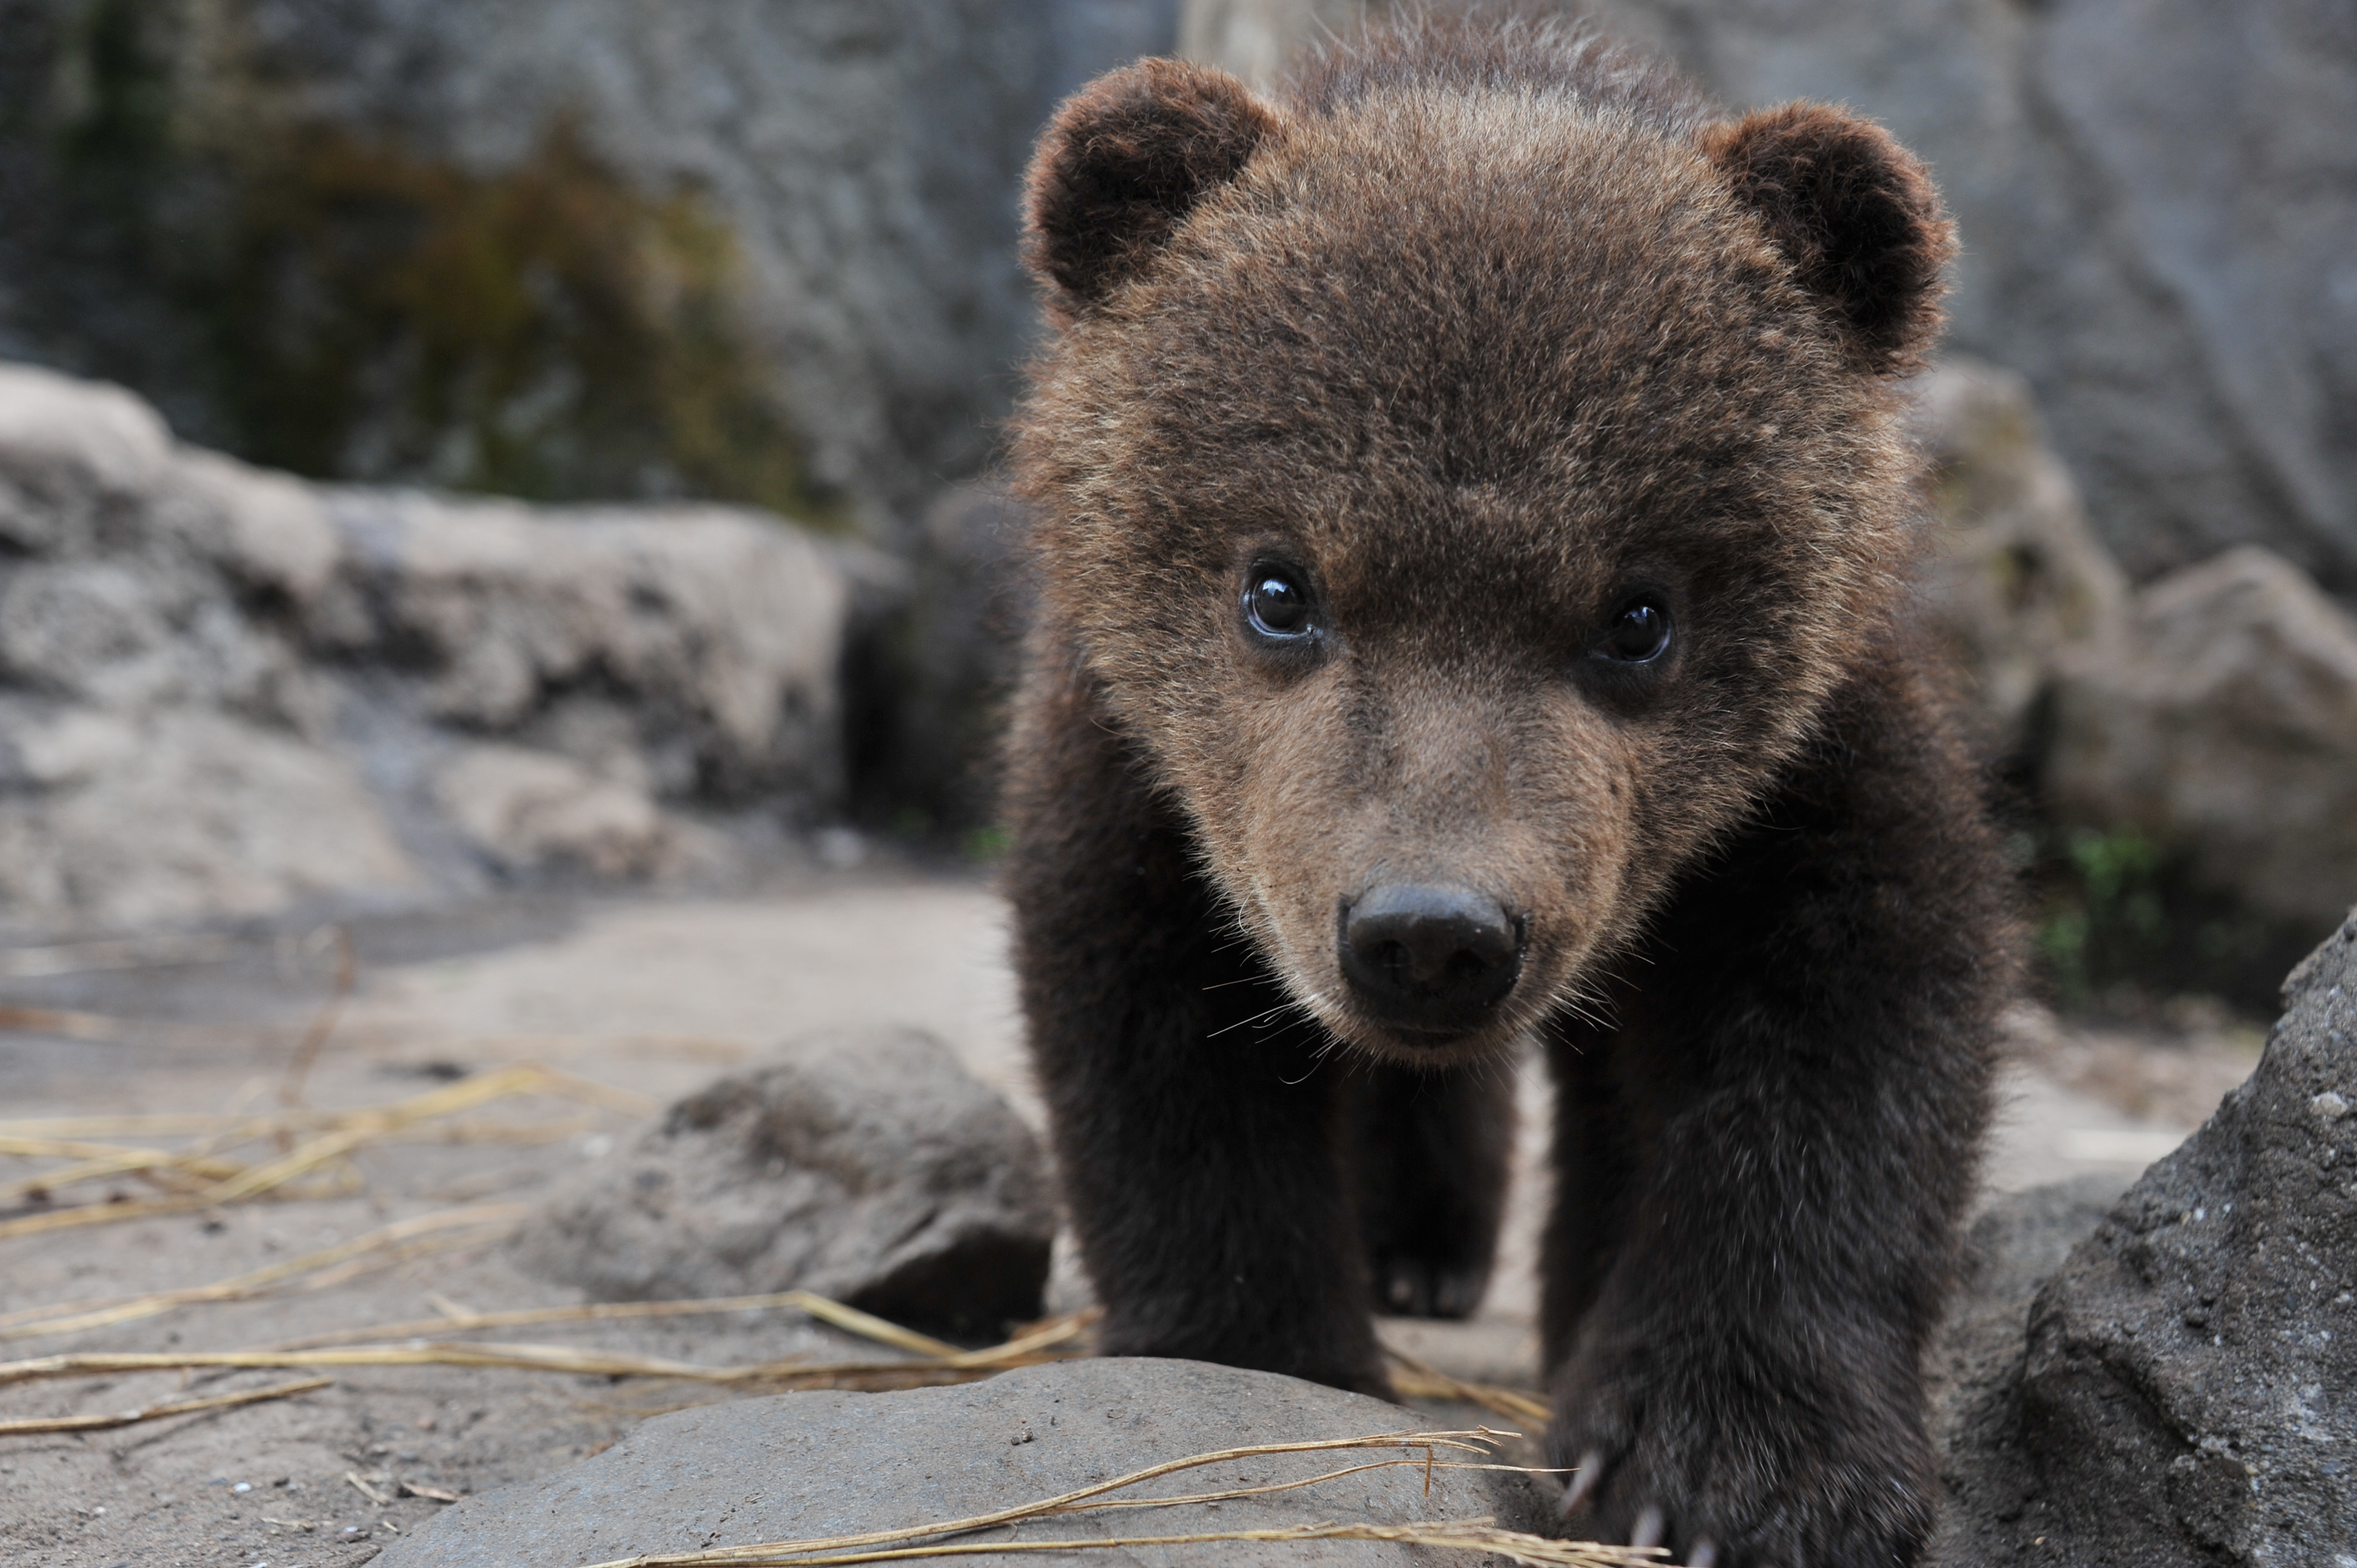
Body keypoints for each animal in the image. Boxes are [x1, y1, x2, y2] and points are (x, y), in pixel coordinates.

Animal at [1001, 16, 2013, 1567]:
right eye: (1278, 586)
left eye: (1639, 613)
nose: (1431, 934)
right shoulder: (1147, 770)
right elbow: (1152, 1036)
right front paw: (1260, 1355)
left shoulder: (1803, 774)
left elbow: (1852, 1031)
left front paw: (1731, 1465)